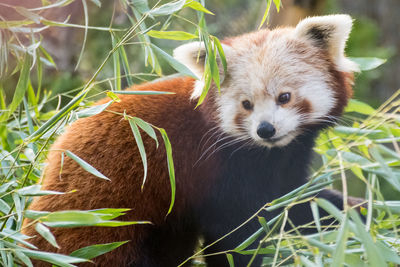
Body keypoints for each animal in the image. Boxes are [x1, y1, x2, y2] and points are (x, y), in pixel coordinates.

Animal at [23, 15, 360, 267]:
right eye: (246, 104)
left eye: (285, 97)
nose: (265, 129)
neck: (267, 153)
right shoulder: (219, 170)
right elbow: (234, 237)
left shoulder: (282, 165)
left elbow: (297, 203)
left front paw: (354, 213)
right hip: (98, 224)